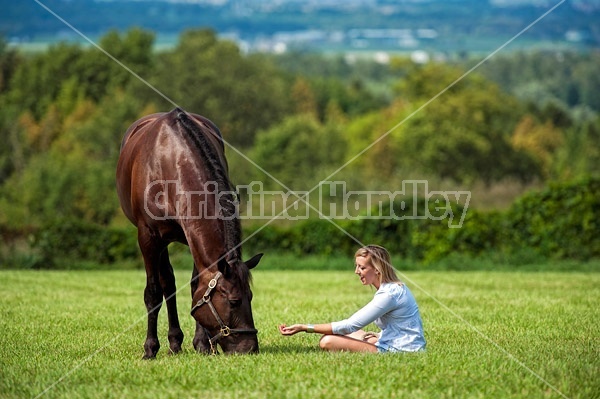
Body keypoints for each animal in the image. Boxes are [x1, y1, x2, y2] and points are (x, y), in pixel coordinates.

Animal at [116, 108, 262, 358]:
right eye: (234, 301)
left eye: (250, 297)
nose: (249, 347)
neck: (171, 160)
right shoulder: (148, 238)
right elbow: (153, 292)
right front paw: (150, 348)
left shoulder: (191, 235)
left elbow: (196, 285)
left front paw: (202, 343)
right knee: (167, 285)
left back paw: (176, 341)